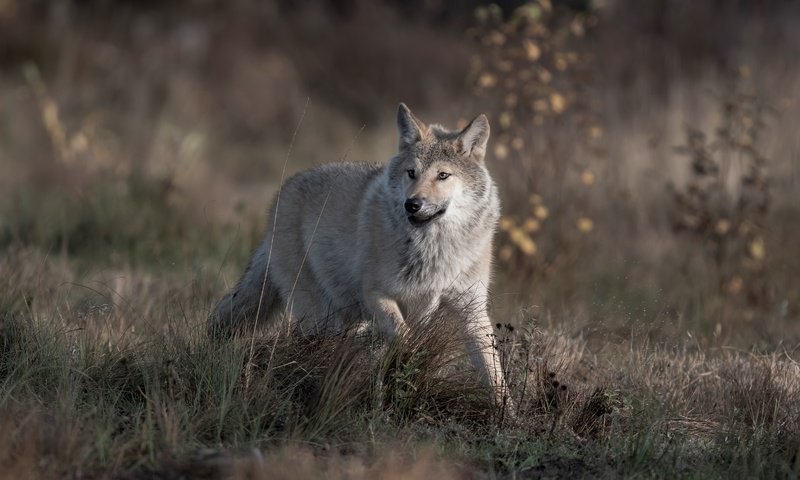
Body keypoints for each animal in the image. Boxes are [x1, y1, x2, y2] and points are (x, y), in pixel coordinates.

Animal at [212, 103, 510, 406]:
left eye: (443, 175)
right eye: (411, 172)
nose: (412, 204)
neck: (435, 248)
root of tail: (281, 195)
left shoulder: (472, 309)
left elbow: (494, 374)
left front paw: (505, 413)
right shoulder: (377, 294)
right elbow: (405, 338)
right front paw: (407, 369)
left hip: (350, 321)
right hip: (323, 318)